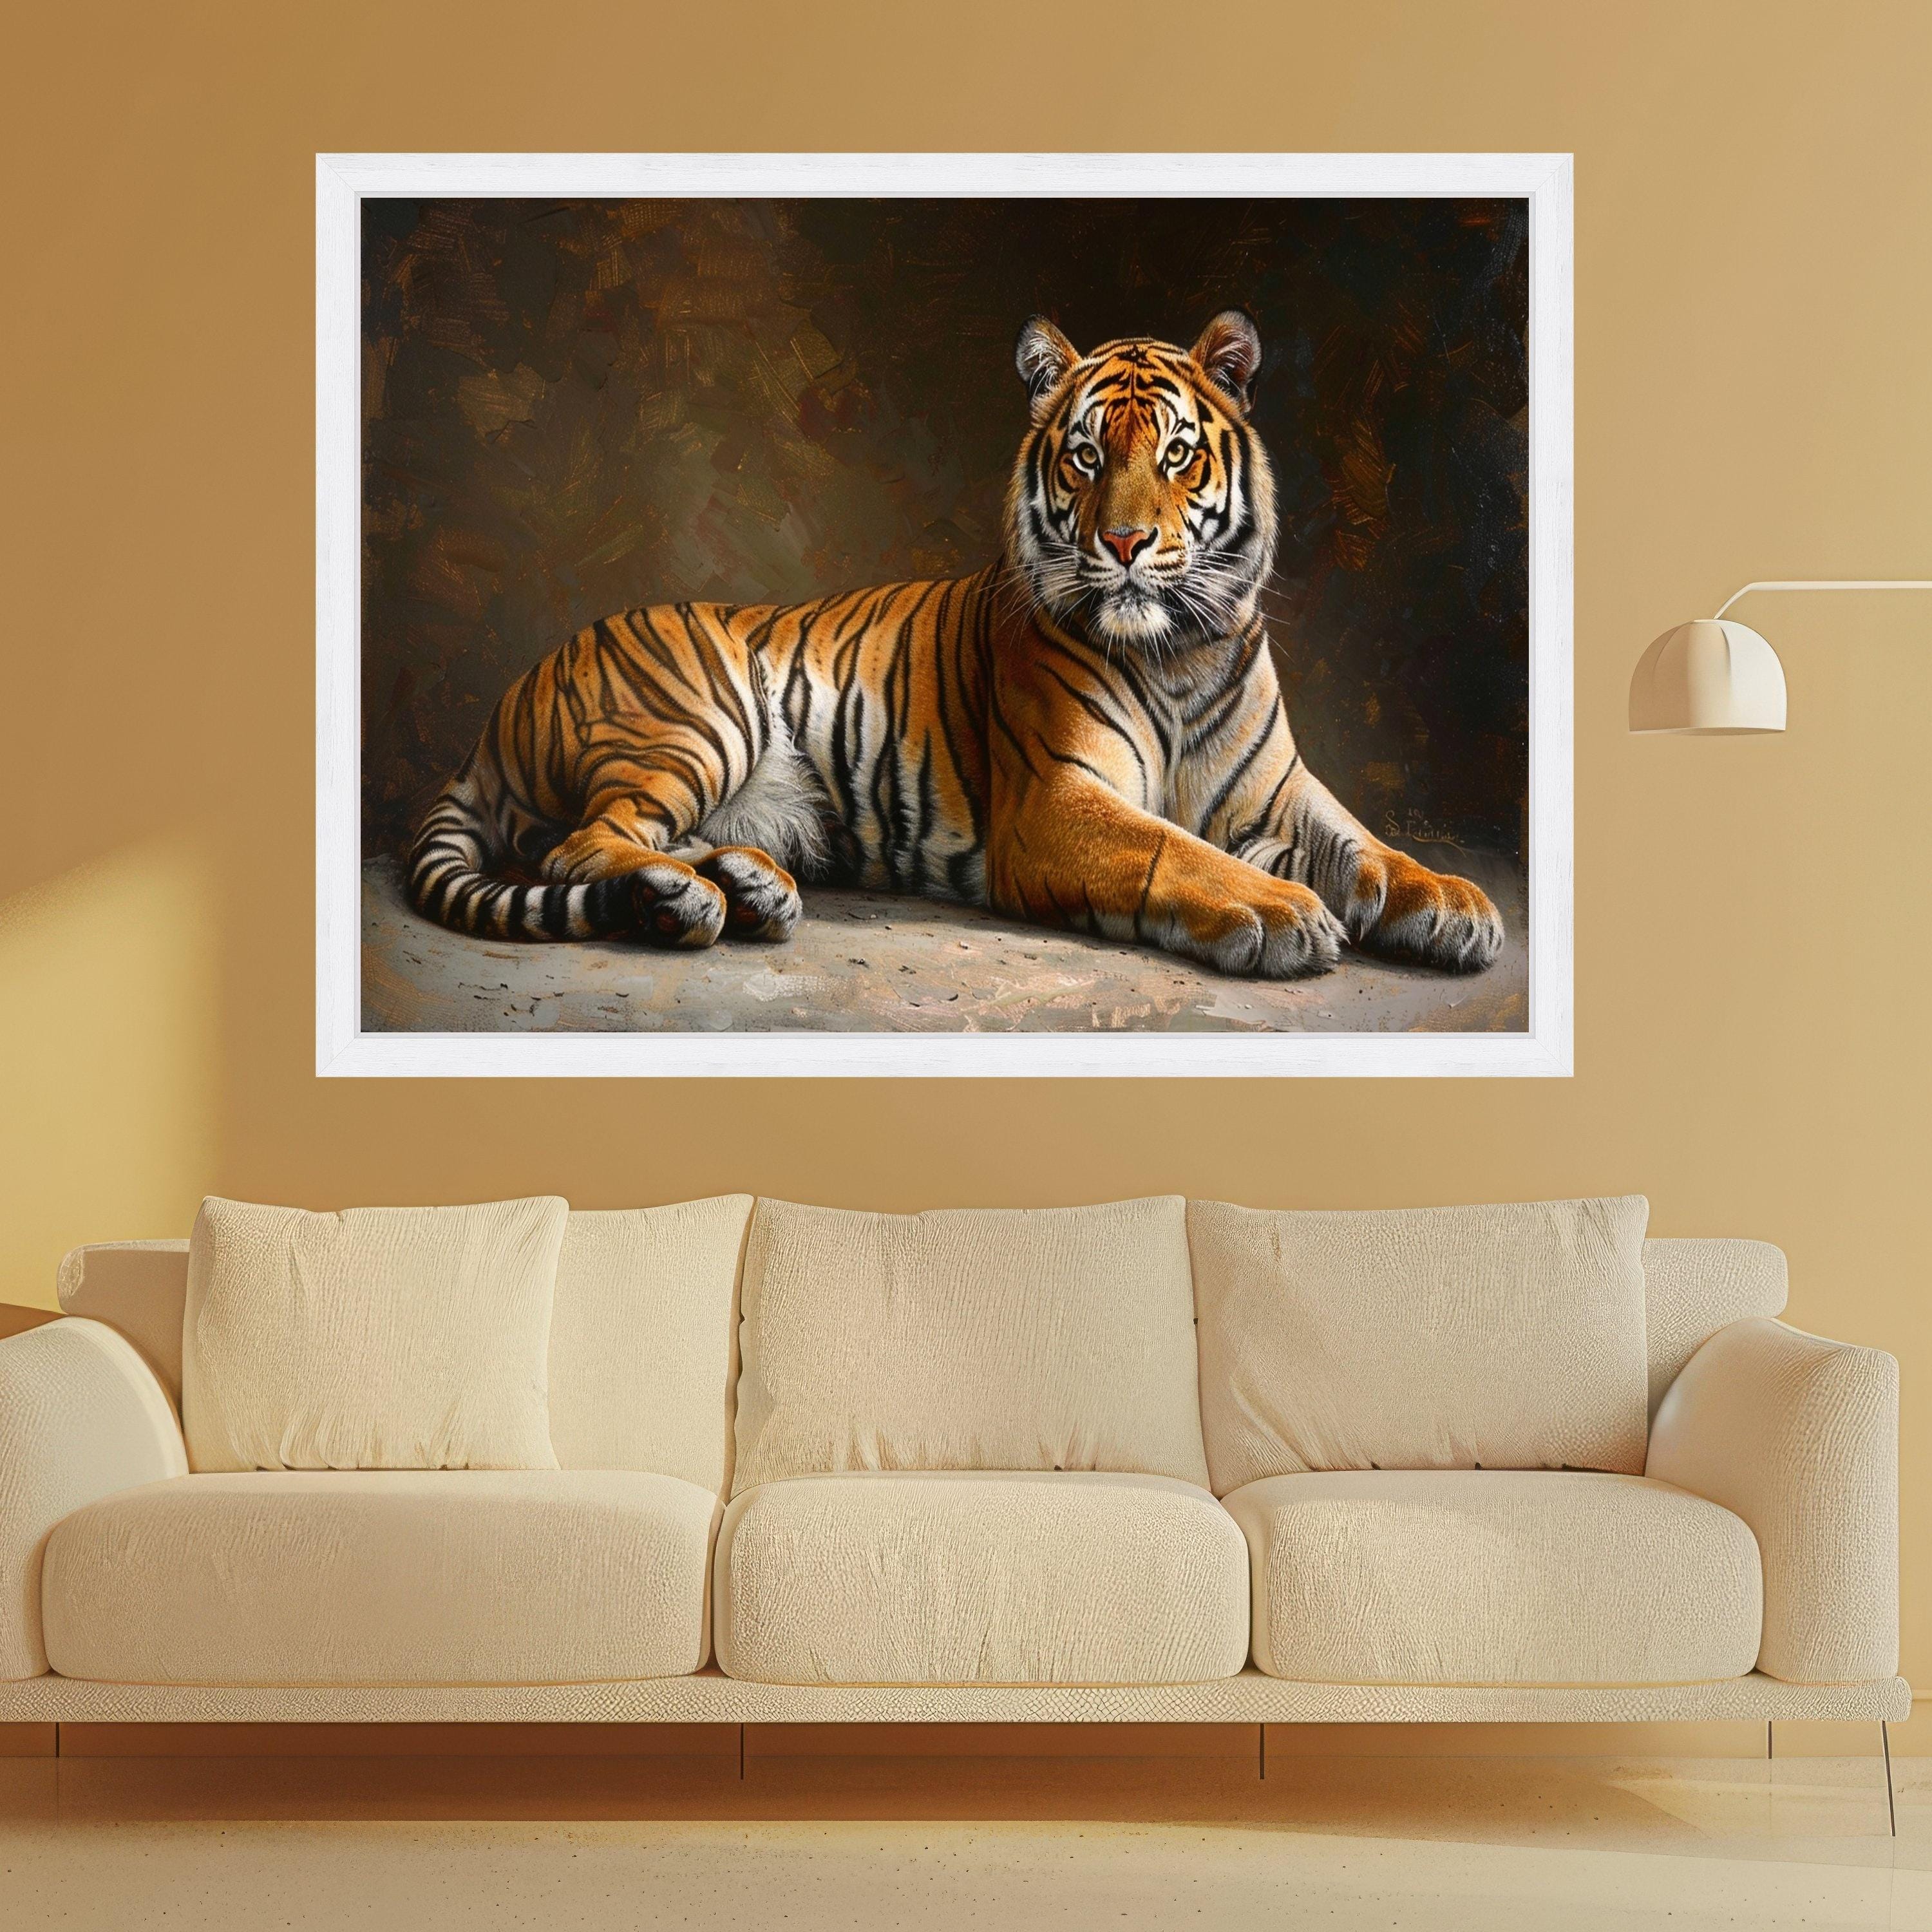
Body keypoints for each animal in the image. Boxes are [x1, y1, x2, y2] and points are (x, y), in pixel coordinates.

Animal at [406, 310, 1505, 981]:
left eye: (1178, 454)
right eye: (1087, 455)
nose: (1125, 543)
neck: (1178, 655)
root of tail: (495, 717)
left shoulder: (1281, 790)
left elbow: (1367, 843)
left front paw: (1453, 903)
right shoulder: (1056, 801)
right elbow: (1174, 849)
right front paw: (1283, 913)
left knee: (636, 837)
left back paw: (746, 887)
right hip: (694, 717)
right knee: (578, 843)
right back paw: (689, 899)